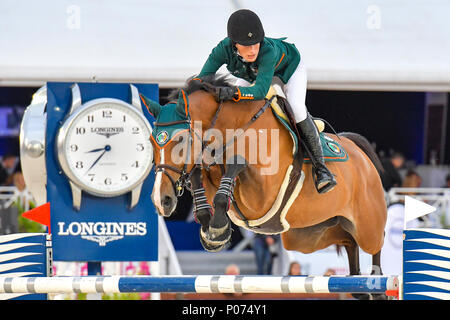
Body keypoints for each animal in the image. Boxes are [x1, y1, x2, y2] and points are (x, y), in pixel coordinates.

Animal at [142, 74, 388, 298]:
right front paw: (213, 234)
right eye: (152, 142)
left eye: (180, 140)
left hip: (367, 226)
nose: (161, 200)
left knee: (375, 243)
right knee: (348, 241)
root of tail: (360, 153)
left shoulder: (261, 195)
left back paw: (376, 285)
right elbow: (200, 176)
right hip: (310, 235)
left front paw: (218, 228)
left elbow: (236, 164)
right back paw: (359, 287)